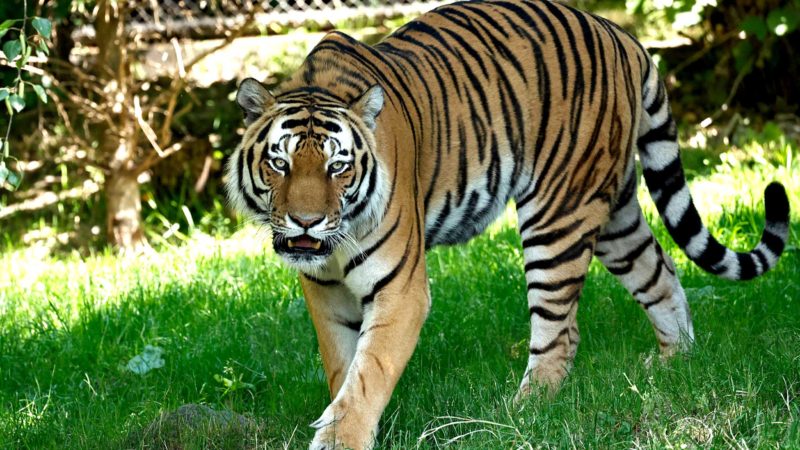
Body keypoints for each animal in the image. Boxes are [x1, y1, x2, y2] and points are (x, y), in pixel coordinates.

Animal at [227, 1, 792, 448]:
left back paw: (522, 412)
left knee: (561, 330)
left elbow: (369, 371)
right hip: (614, 212)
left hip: (559, 211)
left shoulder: (401, 288)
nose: (305, 222)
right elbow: (344, 367)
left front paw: (342, 438)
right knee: (662, 273)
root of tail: (620, 34)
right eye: (279, 163)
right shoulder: (324, 291)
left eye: (337, 166)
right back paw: (676, 364)